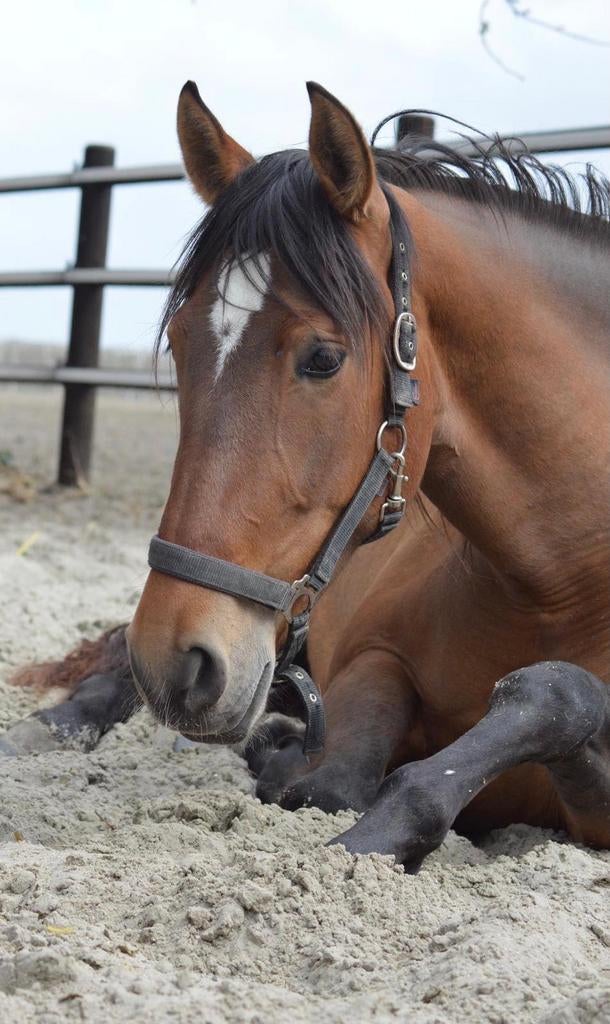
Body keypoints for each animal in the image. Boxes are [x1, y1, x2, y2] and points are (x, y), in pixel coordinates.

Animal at [4, 81, 609, 872]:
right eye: (180, 343)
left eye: (323, 358)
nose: (175, 658)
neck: (559, 586)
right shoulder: (372, 658)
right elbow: (341, 780)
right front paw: (289, 766)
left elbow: (558, 697)